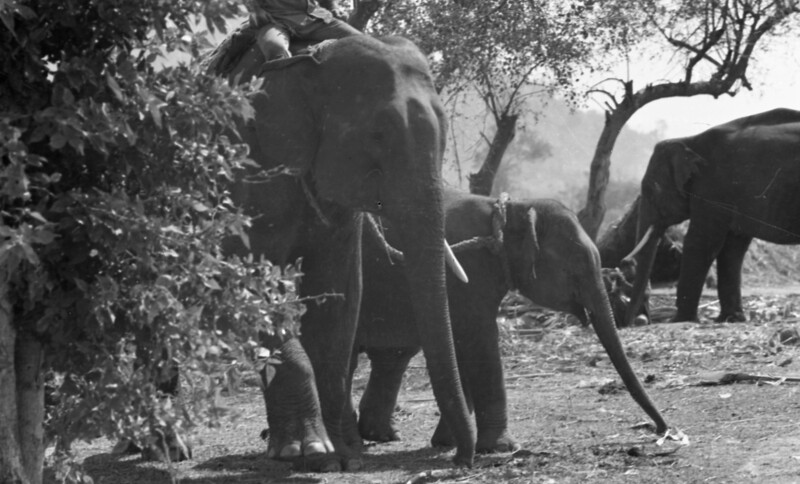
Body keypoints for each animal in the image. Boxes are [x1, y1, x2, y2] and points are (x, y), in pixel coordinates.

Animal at [210, 35, 476, 470]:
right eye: (377, 135)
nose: (460, 460)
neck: (306, 63)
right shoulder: (247, 172)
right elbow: (250, 286)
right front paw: (311, 452)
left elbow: (338, 295)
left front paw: (343, 455)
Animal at [353, 189, 668, 453]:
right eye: (576, 264)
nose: (662, 430)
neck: (513, 208)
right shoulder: (470, 270)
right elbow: (478, 336)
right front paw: (502, 448)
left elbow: (462, 340)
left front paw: (447, 443)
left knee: (392, 356)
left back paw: (381, 435)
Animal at [624, 108, 800, 327]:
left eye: (650, 190)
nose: (635, 322)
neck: (688, 141)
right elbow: (732, 249)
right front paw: (730, 319)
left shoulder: (712, 188)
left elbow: (700, 242)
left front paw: (679, 320)